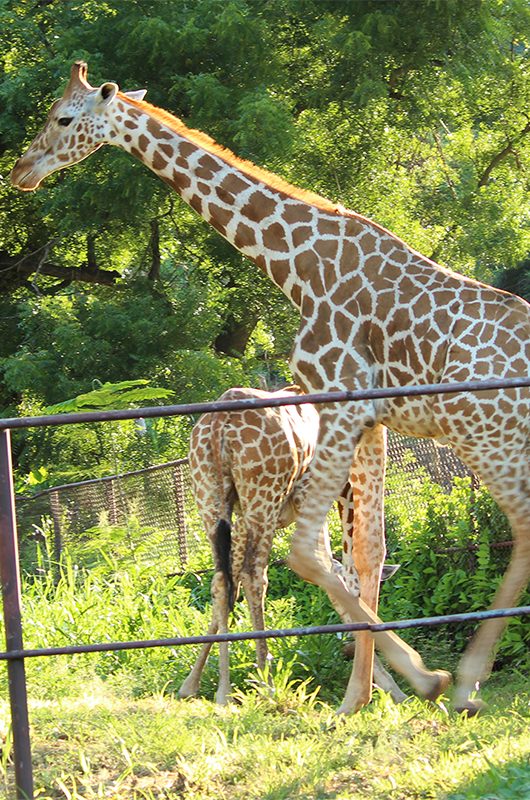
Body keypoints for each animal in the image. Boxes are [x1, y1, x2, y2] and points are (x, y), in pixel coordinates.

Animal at [177, 388, 404, 708]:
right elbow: (334, 578)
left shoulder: (242, 517)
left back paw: (223, 691)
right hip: (264, 496)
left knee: (222, 579)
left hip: (212, 498)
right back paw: (267, 683)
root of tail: (220, 423)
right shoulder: (309, 499)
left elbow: (228, 586)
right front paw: (390, 687)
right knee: (255, 575)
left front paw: (192, 684)